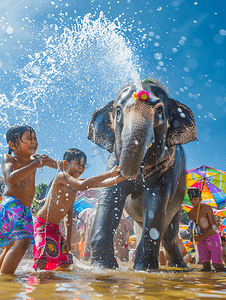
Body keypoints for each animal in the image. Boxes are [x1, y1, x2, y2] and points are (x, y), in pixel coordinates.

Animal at [87, 77, 197, 270]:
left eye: (159, 110)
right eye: (118, 110)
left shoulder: (168, 170)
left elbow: (155, 203)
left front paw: (145, 268)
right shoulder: (113, 161)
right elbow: (110, 197)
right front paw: (103, 266)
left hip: (178, 204)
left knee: (169, 234)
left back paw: (181, 268)